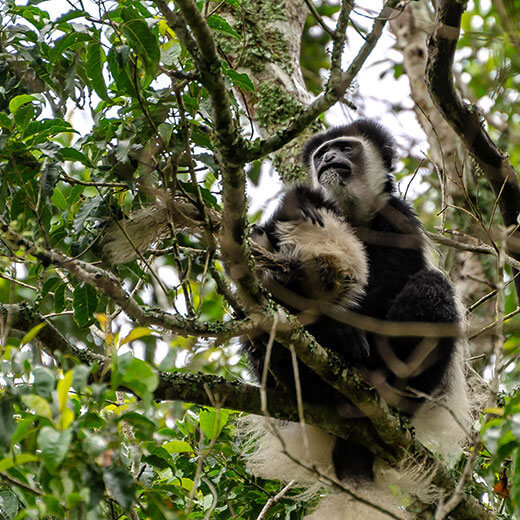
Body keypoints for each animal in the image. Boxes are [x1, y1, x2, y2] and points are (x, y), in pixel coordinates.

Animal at [242, 120, 474, 516]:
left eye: (346, 147)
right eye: (322, 153)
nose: (329, 159)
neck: (355, 216)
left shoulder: (398, 218)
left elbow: (391, 278)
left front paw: (343, 332)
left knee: (432, 288)